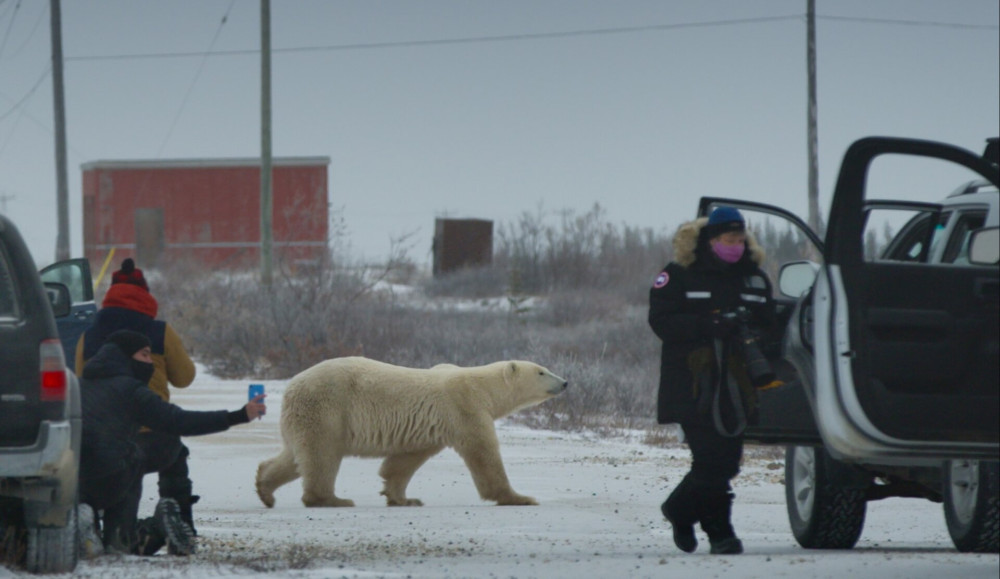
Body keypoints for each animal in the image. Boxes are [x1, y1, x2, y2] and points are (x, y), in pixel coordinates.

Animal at [256, 356, 572, 510]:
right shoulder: (465, 408)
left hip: (302, 417)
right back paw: (331, 499)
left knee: (295, 456)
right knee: (322, 454)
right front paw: (520, 497)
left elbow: (405, 460)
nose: (566, 382)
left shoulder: (431, 426)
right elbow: (483, 454)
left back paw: (265, 489)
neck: (482, 387)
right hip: (327, 407)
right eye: (542, 371)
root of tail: (291, 385)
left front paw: (403, 498)